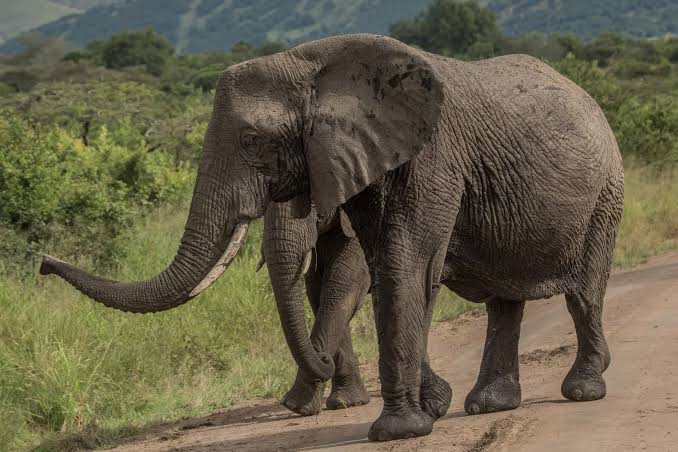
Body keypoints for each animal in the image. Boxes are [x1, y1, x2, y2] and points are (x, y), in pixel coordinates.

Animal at [40, 34, 624, 442]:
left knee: (583, 291)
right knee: (505, 299)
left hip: (606, 192)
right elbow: (373, 274)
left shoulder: (432, 157)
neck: (317, 66)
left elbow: (398, 267)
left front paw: (396, 430)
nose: (43, 262)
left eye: (253, 141)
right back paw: (488, 404)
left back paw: (583, 390)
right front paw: (426, 406)